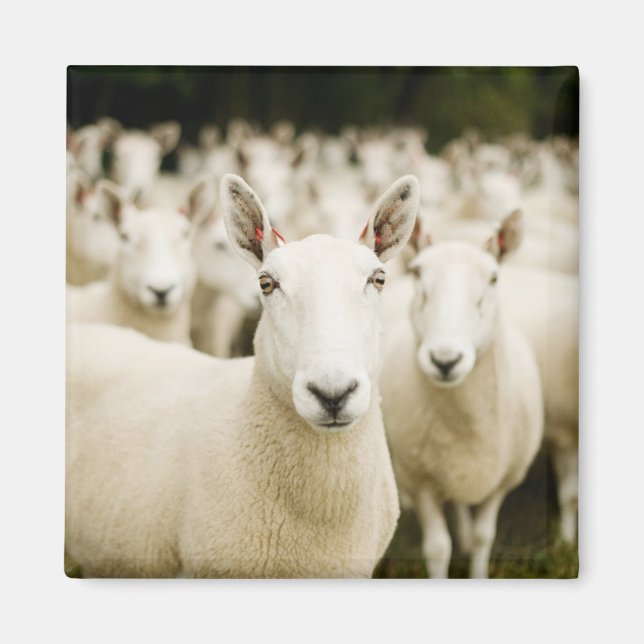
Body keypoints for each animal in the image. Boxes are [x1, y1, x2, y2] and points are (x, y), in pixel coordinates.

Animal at [379, 211, 544, 578]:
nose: (445, 360)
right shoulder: (421, 481)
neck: (468, 423)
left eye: (494, 278)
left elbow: (485, 537)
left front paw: (475, 554)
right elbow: (438, 548)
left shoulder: (503, 480)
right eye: (417, 273)